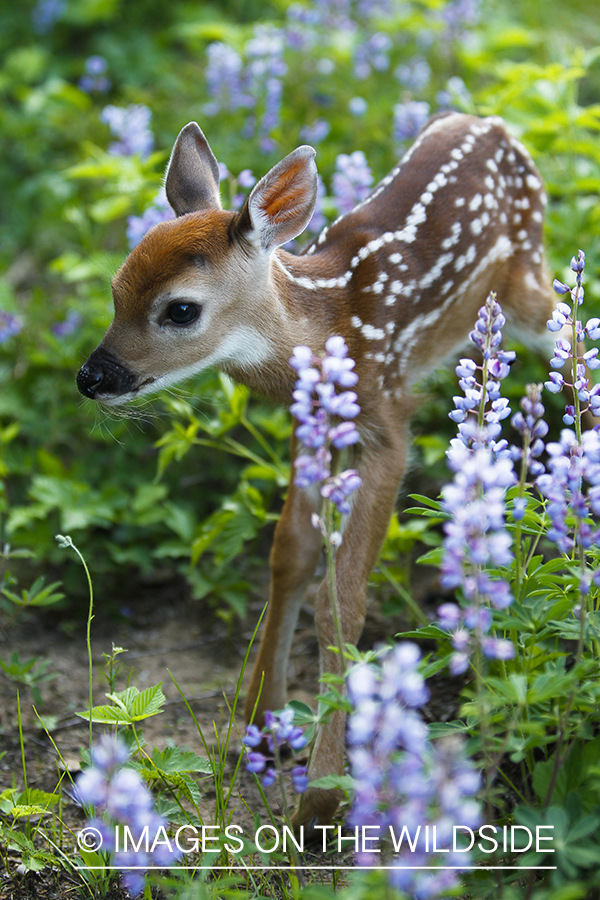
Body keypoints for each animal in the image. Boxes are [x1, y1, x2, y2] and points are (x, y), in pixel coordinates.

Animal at [77, 111, 559, 828]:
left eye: (180, 309)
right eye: (114, 290)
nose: (91, 378)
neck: (322, 327)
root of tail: (495, 124)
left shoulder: (386, 421)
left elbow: (344, 599)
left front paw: (324, 797)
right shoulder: (310, 422)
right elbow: (290, 555)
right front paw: (261, 723)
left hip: (527, 278)